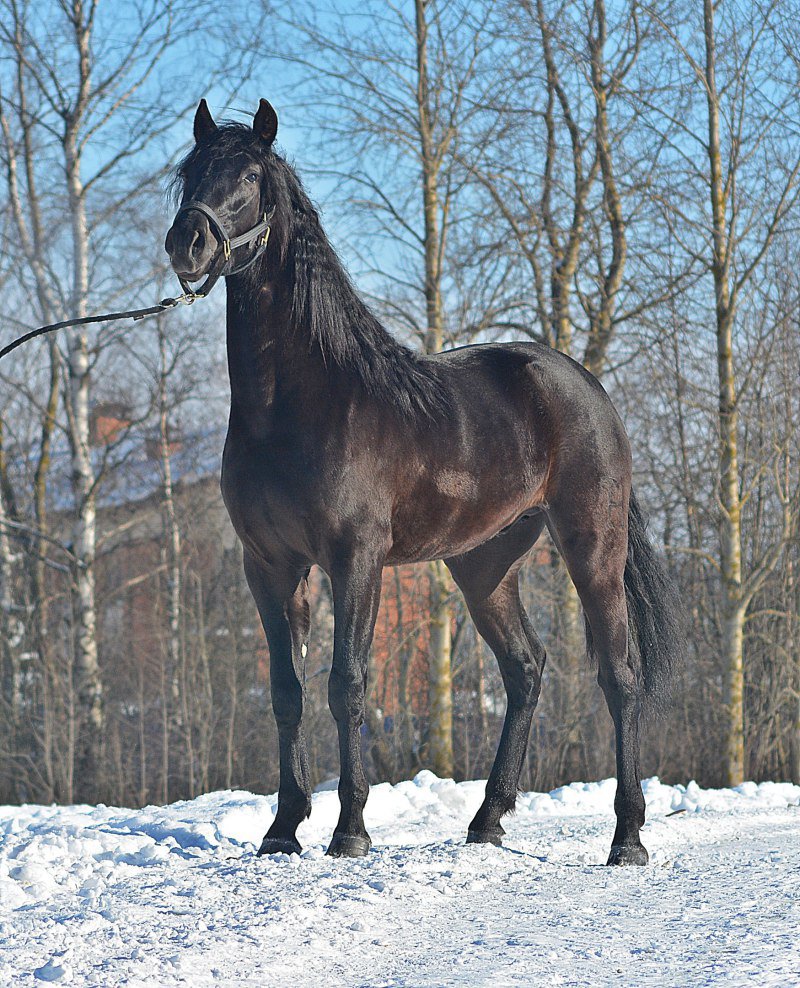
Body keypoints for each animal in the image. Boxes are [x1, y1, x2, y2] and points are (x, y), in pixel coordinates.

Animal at [164, 96, 680, 860]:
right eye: (191, 170)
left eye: (251, 175)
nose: (187, 243)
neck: (299, 402)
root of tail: (585, 387)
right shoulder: (270, 565)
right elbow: (286, 689)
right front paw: (283, 829)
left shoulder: (356, 558)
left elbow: (346, 683)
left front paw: (349, 831)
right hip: (484, 565)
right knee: (525, 669)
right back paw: (488, 819)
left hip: (593, 547)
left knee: (619, 677)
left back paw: (627, 838)